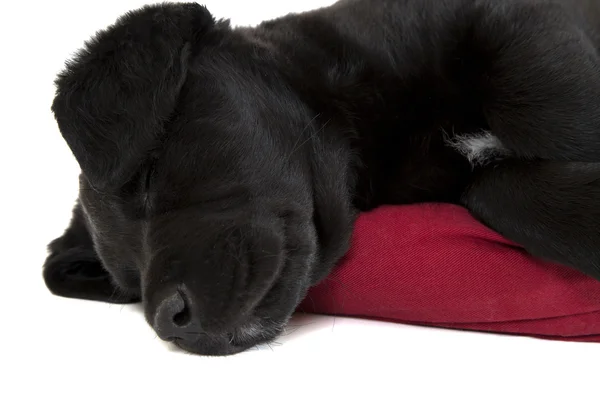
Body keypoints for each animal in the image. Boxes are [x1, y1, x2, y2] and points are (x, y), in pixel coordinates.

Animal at [44, 0, 600, 356]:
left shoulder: (516, 23)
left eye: (148, 177)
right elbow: (498, 190)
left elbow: (551, 108)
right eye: (128, 285)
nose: (169, 322)